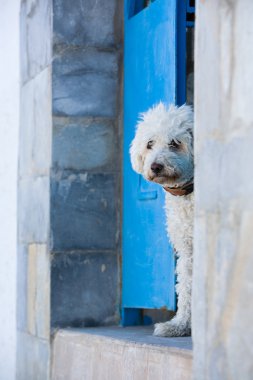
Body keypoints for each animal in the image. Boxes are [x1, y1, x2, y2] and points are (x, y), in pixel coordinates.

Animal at [130, 102, 194, 336]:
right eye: (150, 143)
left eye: (175, 143)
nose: (155, 166)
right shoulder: (187, 249)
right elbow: (186, 289)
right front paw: (180, 325)